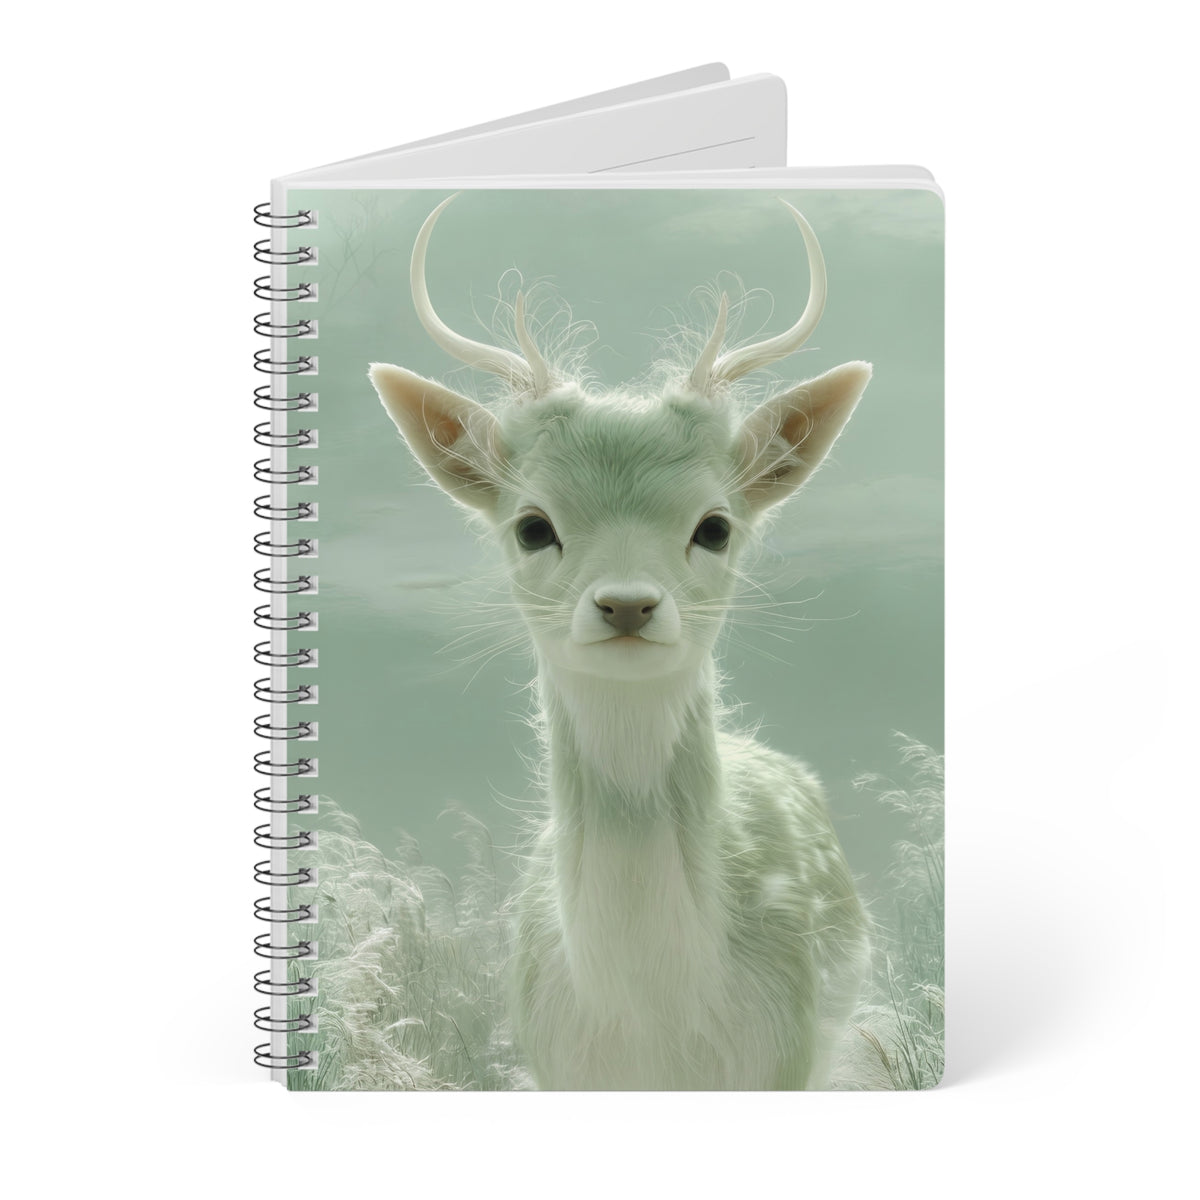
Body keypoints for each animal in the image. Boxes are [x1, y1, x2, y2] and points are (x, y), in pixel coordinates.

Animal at [369, 194, 872, 1089]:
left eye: (715, 525)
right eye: (533, 525)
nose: (628, 605)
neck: (654, 1027)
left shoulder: (788, 1054)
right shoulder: (552, 1062)